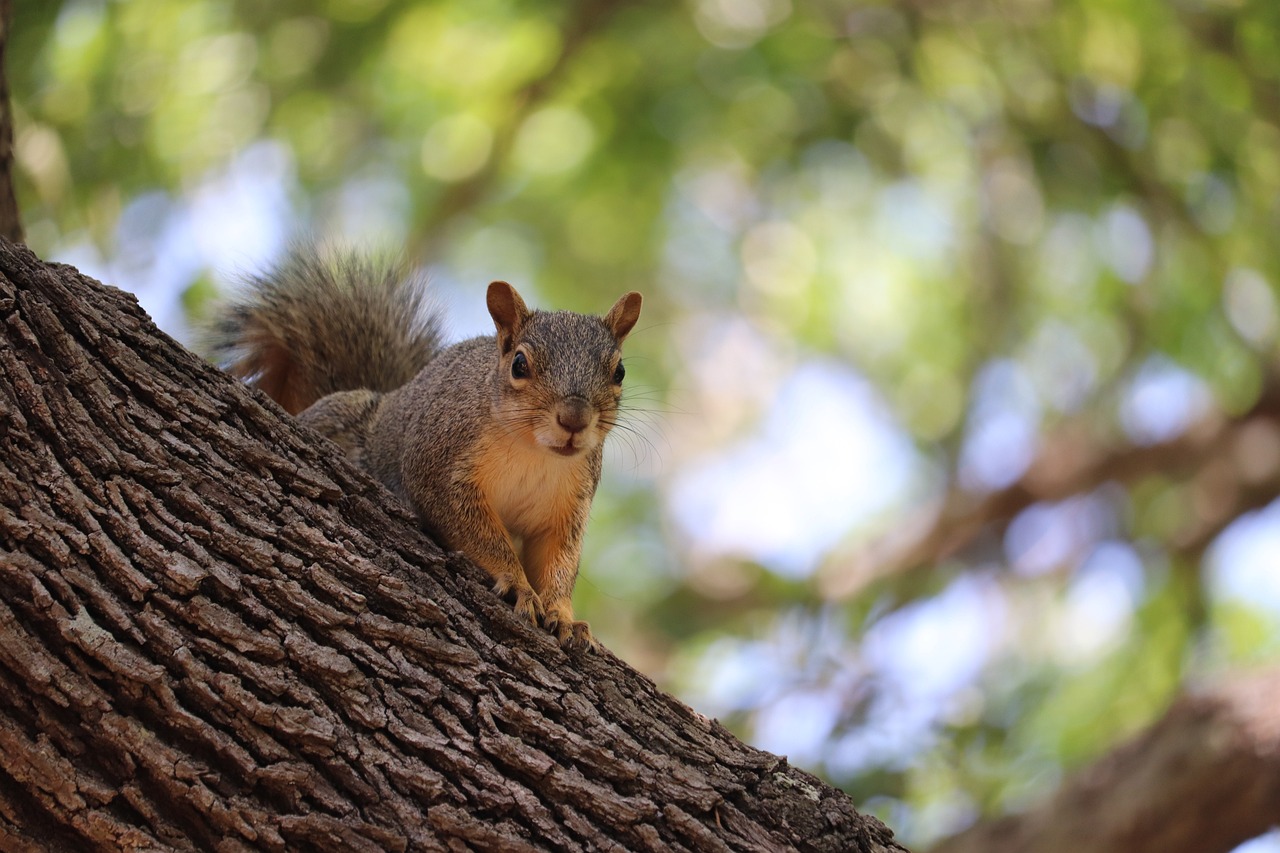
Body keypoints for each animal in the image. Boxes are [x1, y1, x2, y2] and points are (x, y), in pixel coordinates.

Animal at [209, 247, 642, 650]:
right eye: (519, 364)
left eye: (619, 371)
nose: (574, 419)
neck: (534, 453)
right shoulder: (438, 466)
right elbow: (475, 532)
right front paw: (517, 583)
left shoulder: (567, 506)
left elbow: (559, 561)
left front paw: (564, 615)